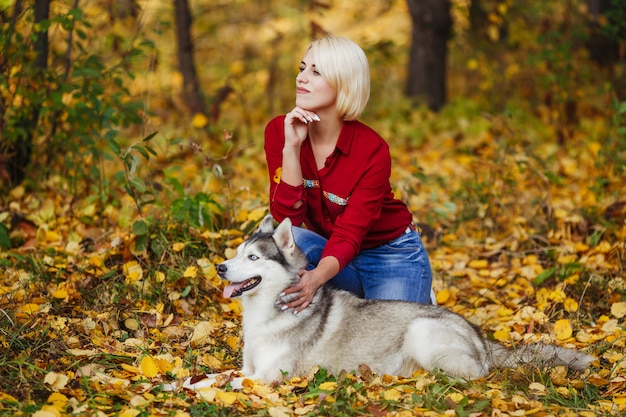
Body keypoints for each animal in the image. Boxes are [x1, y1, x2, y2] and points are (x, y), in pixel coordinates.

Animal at [182, 216, 596, 388]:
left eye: (253, 258)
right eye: (236, 253)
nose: (220, 267)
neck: (265, 315)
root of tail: (478, 333)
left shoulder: (270, 376)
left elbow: (231, 383)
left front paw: (197, 389)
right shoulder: (249, 366)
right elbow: (215, 375)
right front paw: (181, 383)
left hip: (423, 331)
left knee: (476, 375)